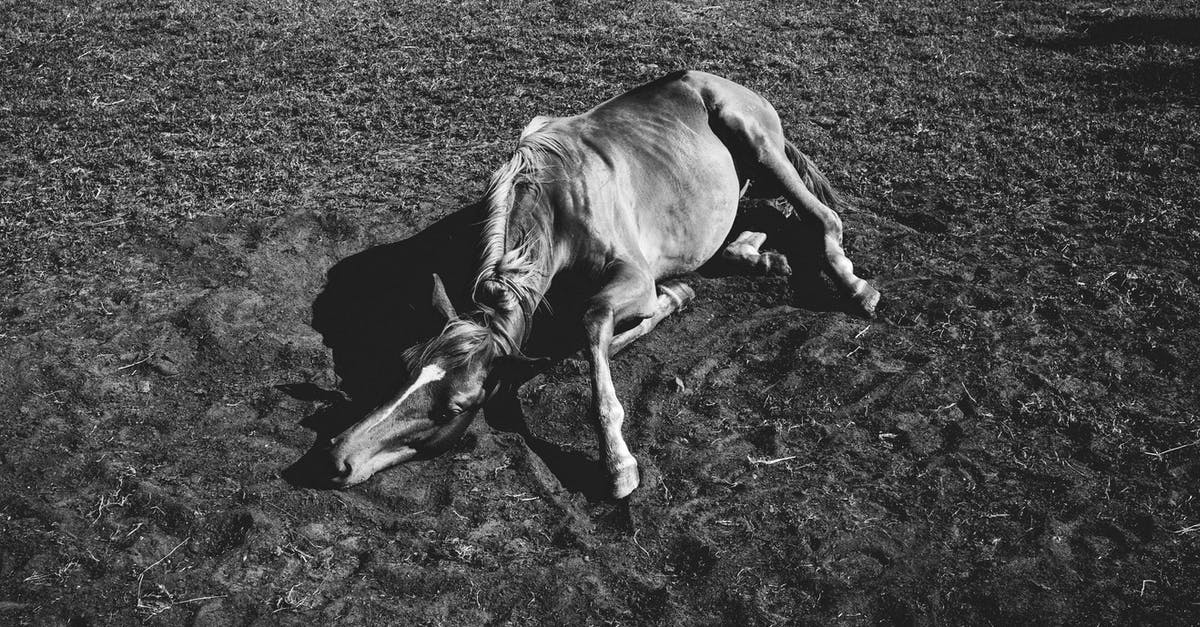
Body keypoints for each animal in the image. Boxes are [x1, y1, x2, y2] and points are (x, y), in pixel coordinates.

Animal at [326, 70, 879, 498]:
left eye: (456, 406)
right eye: (405, 367)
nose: (338, 458)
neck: (557, 202)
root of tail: (725, 82)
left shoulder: (633, 277)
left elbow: (593, 325)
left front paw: (618, 464)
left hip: (760, 147)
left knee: (821, 217)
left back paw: (856, 287)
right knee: (756, 226)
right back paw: (761, 259)